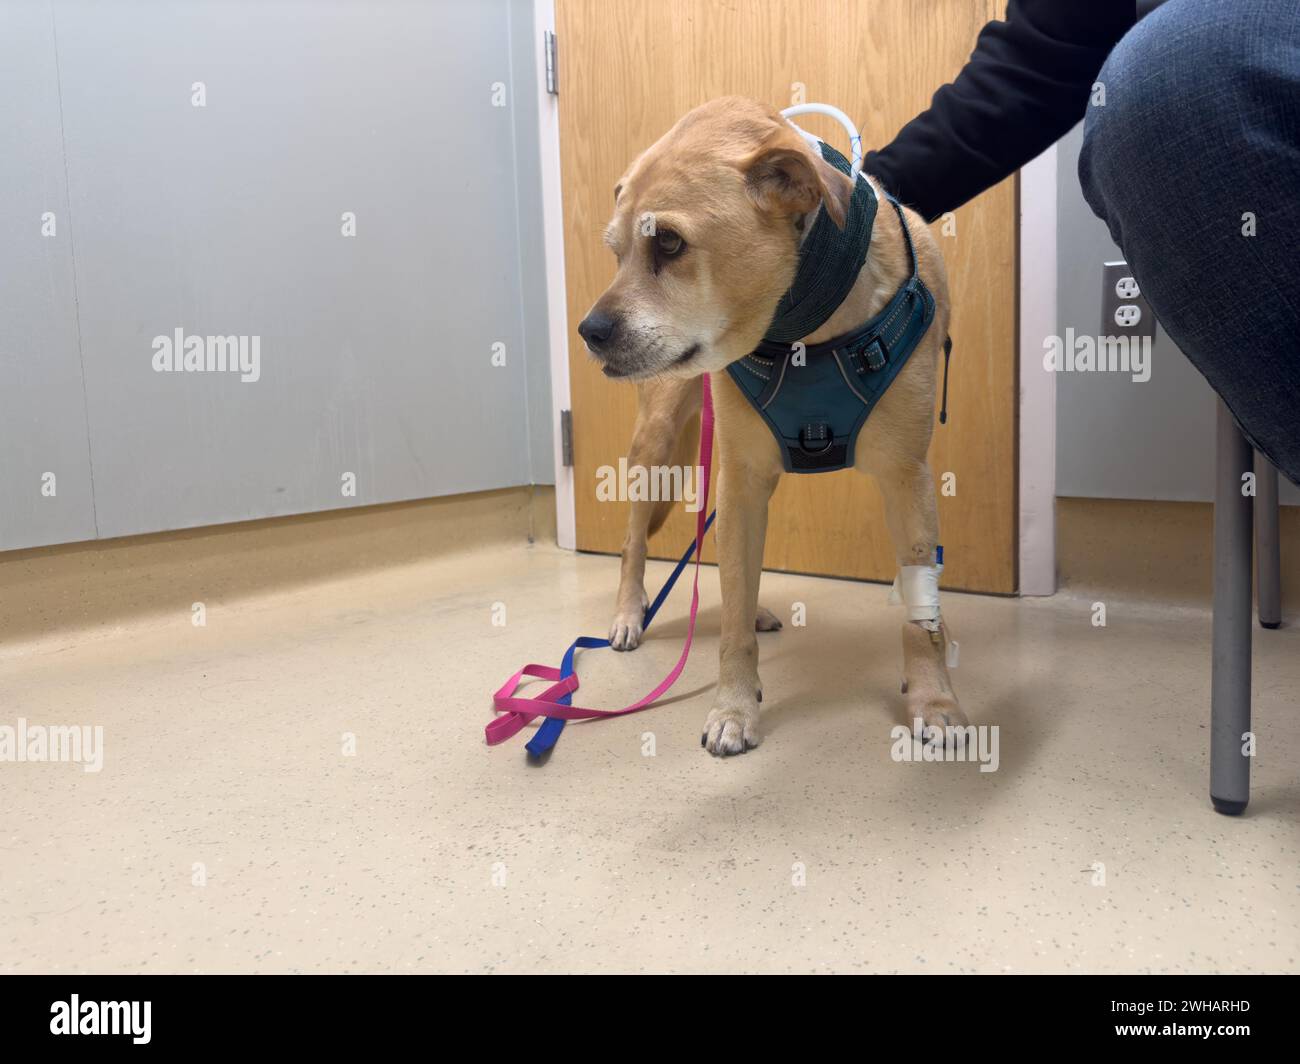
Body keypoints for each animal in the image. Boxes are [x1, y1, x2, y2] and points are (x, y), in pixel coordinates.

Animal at [582, 95, 967, 749]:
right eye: (616, 252)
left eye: (670, 244)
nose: (590, 332)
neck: (804, 327)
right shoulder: (740, 477)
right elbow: (732, 619)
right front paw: (735, 708)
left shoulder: (907, 479)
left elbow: (923, 617)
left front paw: (934, 700)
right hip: (656, 449)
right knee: (636, 542)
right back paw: (630, 614)